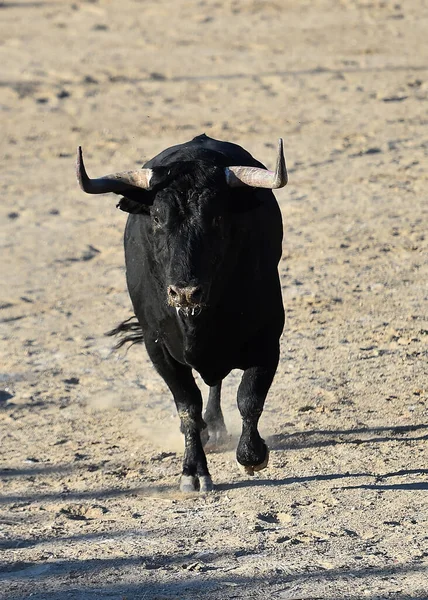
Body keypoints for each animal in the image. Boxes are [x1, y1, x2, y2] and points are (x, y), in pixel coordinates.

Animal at [77, 136, 288, 492]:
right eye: (157, 218)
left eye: (217, 219)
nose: (186, 292)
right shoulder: (158, 349)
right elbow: (187, 406)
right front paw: (193, 471)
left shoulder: (267, 340)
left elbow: (249, 398)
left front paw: (252, 455)